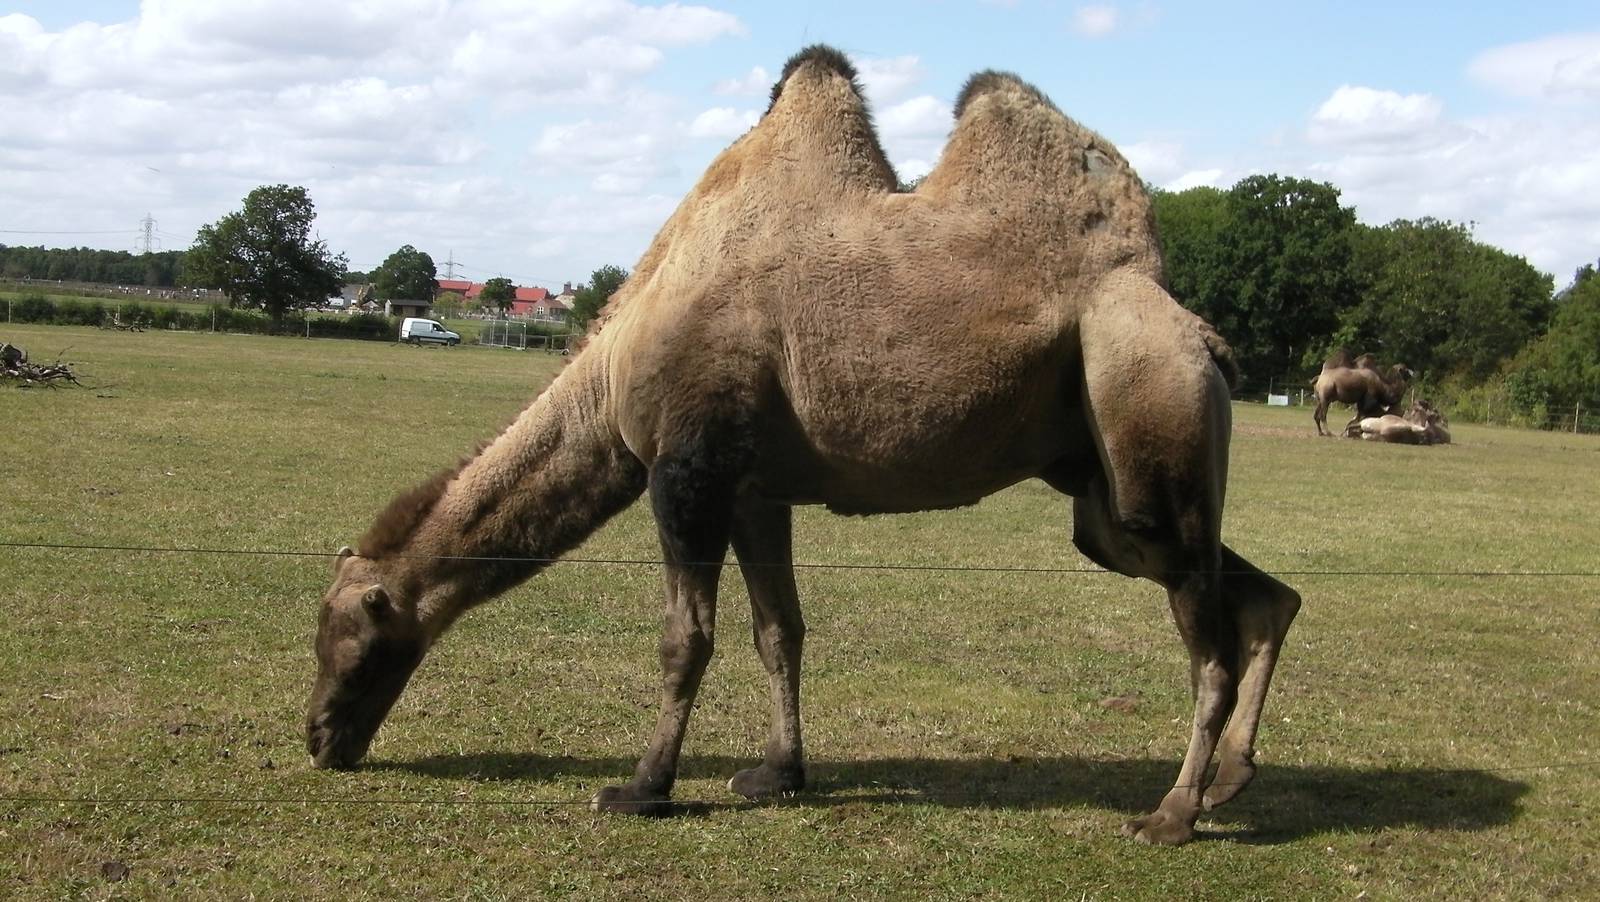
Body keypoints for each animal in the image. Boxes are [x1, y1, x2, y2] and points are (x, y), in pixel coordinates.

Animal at [306, 46, 1301, 846]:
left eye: (349, 637)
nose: (318, 739)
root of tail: (1195, 328)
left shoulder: (686, 471)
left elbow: (686, 639)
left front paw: (642, 788)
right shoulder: (755, 489)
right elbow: (777, 630)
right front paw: (778, 773)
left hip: (1144, 395)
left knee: (1206, 636)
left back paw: (1172, 814)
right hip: (1098, 485)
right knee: (1258, 593)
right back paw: (1233, 776)